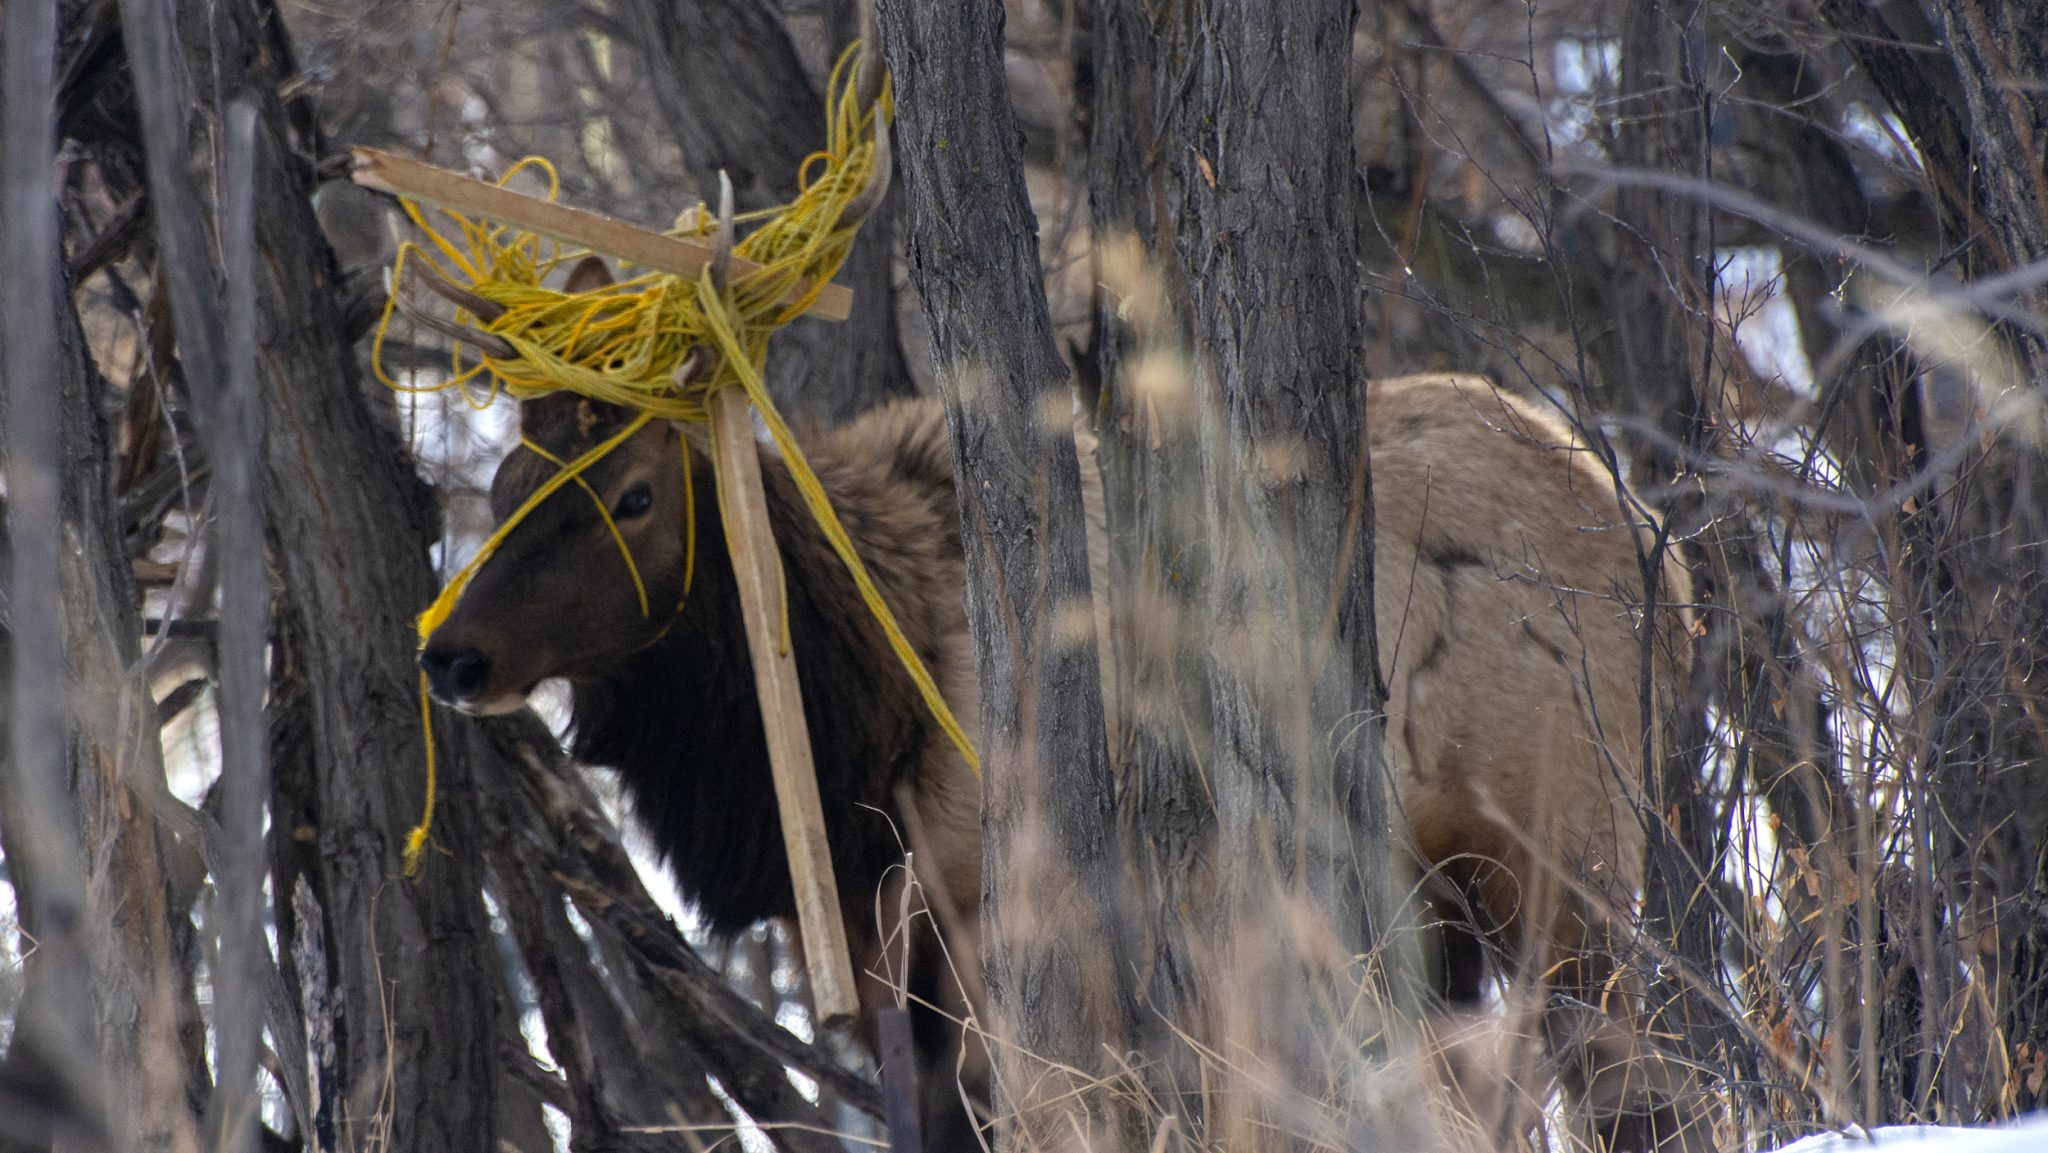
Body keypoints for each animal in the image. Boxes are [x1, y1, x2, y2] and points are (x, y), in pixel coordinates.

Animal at [423, 311, 1703, 1146]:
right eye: (504, 486)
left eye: (632, 493)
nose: (452, 654)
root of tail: (1663, 561)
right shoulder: (887, 955)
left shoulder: (992, 926)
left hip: (1559, 854)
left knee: (1629, 1082)